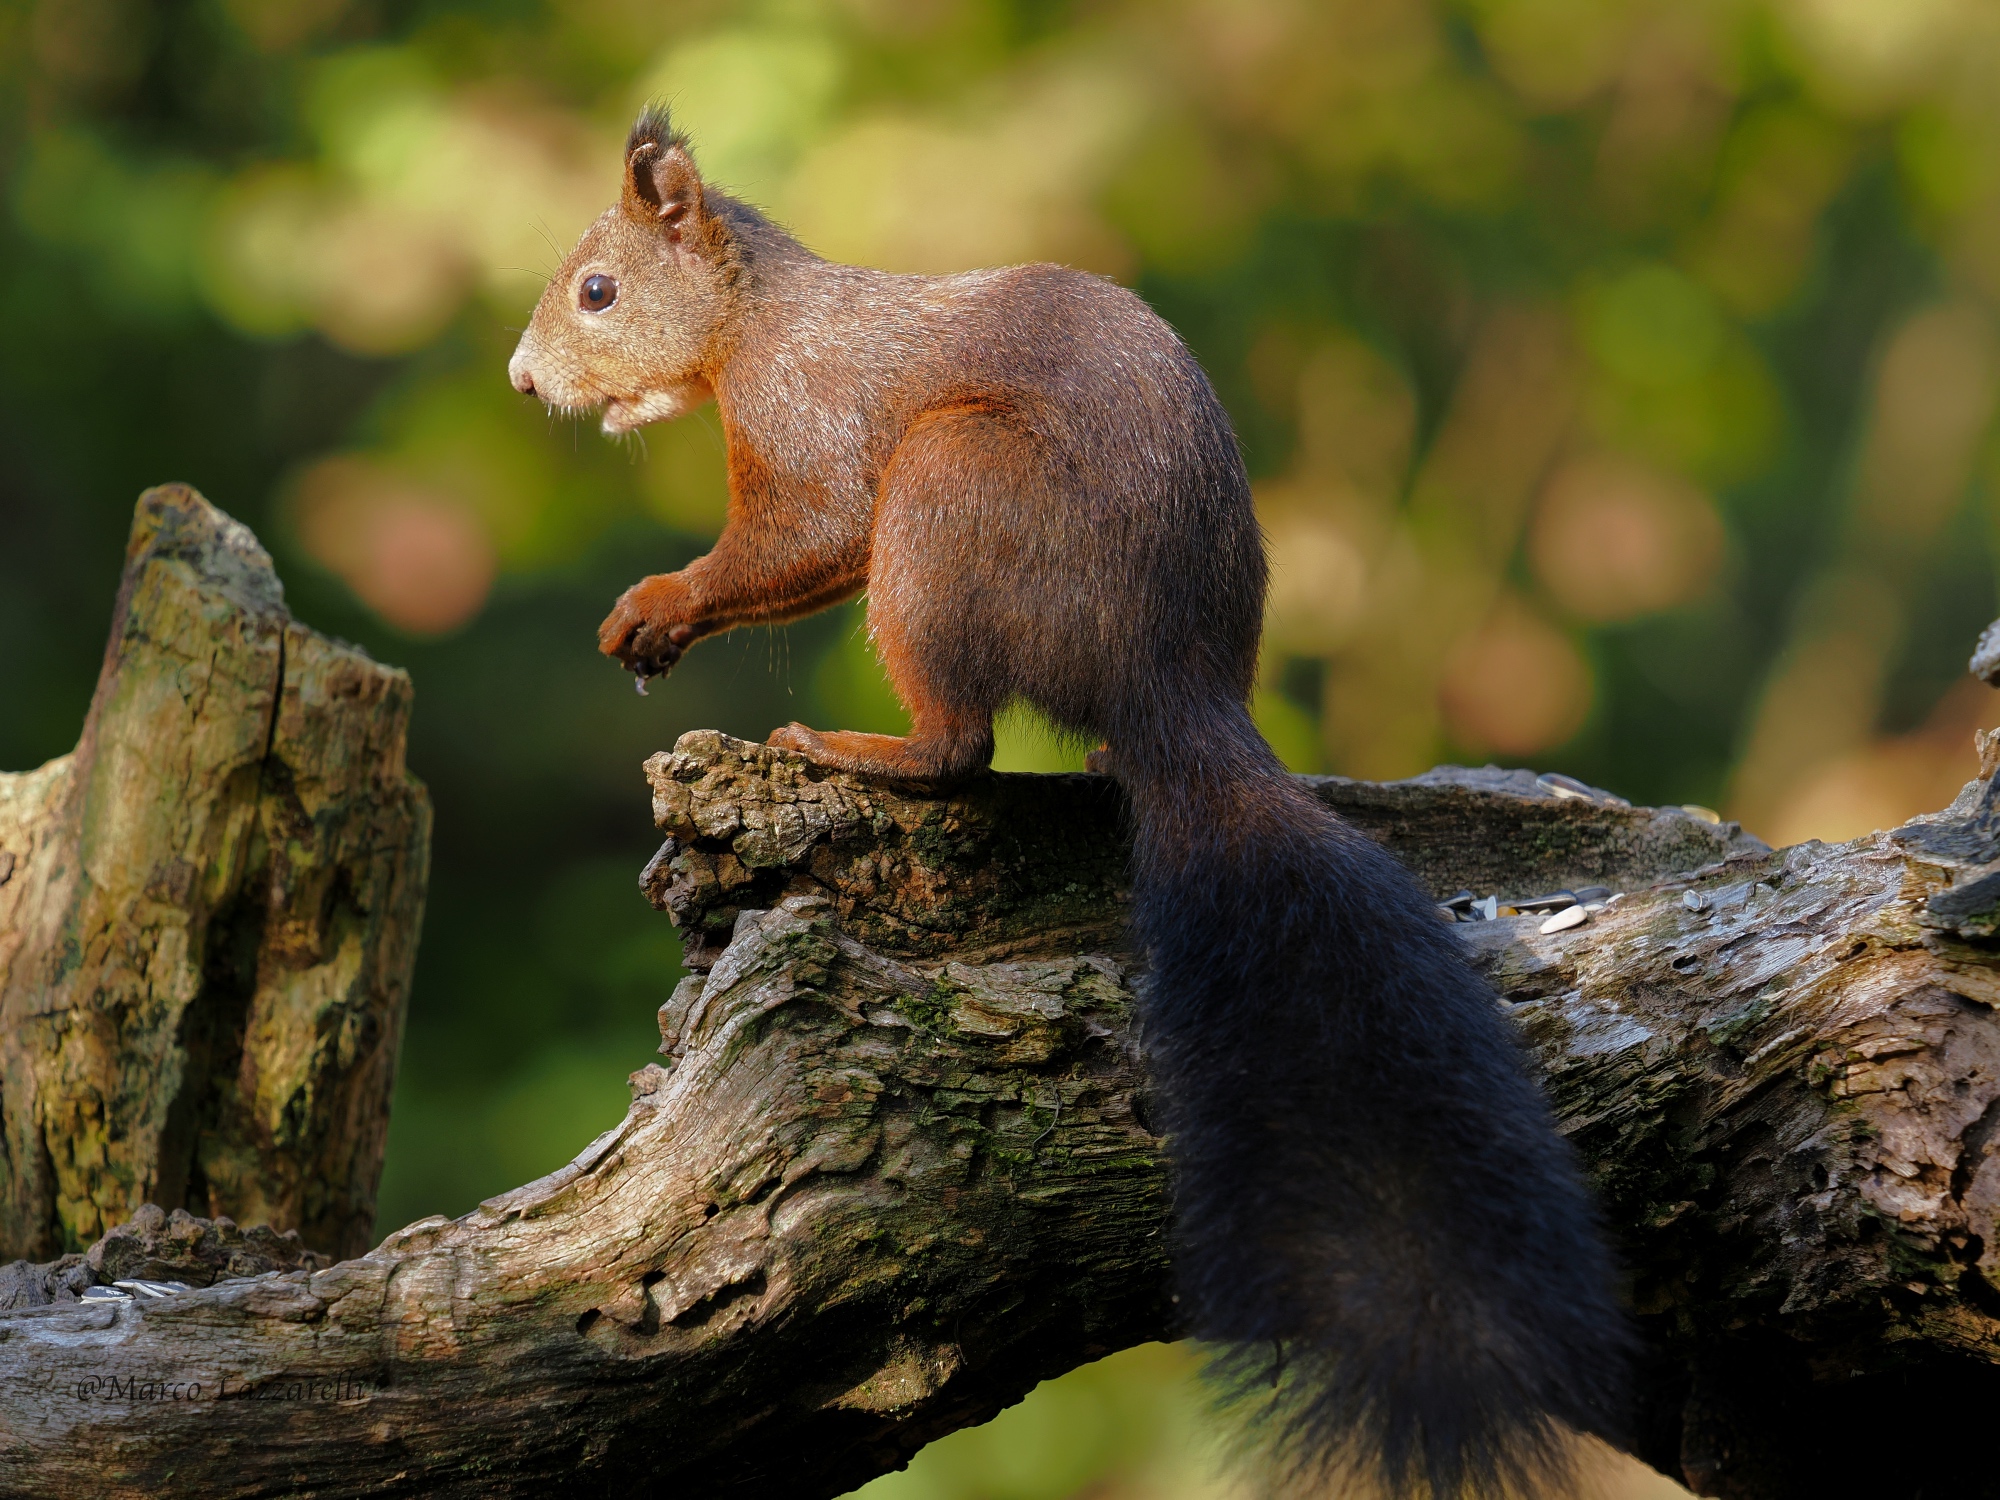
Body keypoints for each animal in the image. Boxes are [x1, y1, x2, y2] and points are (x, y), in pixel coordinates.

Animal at [509, 108, 1630, 1497]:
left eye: (598, 291)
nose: (523, 381)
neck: (757, 319)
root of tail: (1169, 688)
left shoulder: (813, 426)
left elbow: (802, 534)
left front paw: (656, 605)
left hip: (950, 492)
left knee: (959, 747)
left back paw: (856, 749)